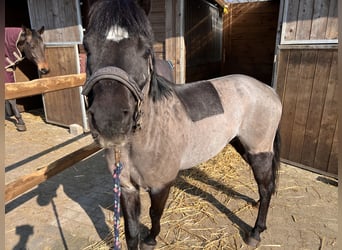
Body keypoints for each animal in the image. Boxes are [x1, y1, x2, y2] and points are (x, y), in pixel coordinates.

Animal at [81, 0, 282, 249]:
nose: (110, 121)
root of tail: (268, 89)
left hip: (259, 150)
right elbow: (131, 232)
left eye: (146, 50)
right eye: (87, 46)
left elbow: (155, 213)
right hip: (242, 146)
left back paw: (255, 232)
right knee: (266, 185)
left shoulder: (161, 185)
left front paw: (151, 239)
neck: (149, 134)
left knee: (266, 187)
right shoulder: (127, 187)